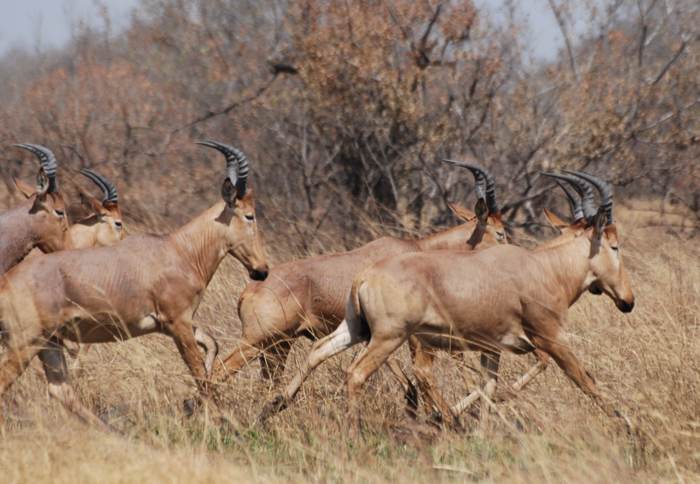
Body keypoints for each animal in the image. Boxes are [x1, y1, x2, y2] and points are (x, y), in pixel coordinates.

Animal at [211, 161, 506, 392]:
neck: (416, 248)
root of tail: (248, 291)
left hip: (277, 347)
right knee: (217, 372)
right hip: (255, 343)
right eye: (500, 232)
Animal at [262, 171, 636, 434]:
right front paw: (630, 429)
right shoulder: (552, 340)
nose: (628, 301)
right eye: (614, 245)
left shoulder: (492, 348)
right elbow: (585, 380)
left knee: (320, 350)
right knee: (358, 373)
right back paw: (357, 433)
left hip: (357, 330)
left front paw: (478, 434)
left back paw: (275, 405)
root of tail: (363, 276)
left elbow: (488, 387)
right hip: (389, 338)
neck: (541, 267)